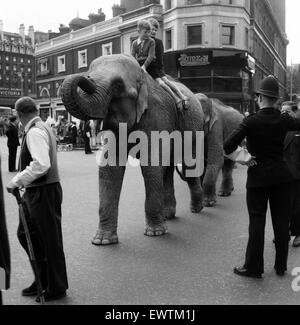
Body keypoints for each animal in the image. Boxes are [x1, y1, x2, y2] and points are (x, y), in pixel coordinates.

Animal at [61, 54, 206, 244]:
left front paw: (155, 233)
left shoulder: (157, 115)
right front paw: (102, 241)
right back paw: (168, 215)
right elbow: (110, 169)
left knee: (188, 166)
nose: (85, 77)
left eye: (117, 85)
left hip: (195, 128)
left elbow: (151, 166)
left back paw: (196, 209)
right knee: (167, 169)